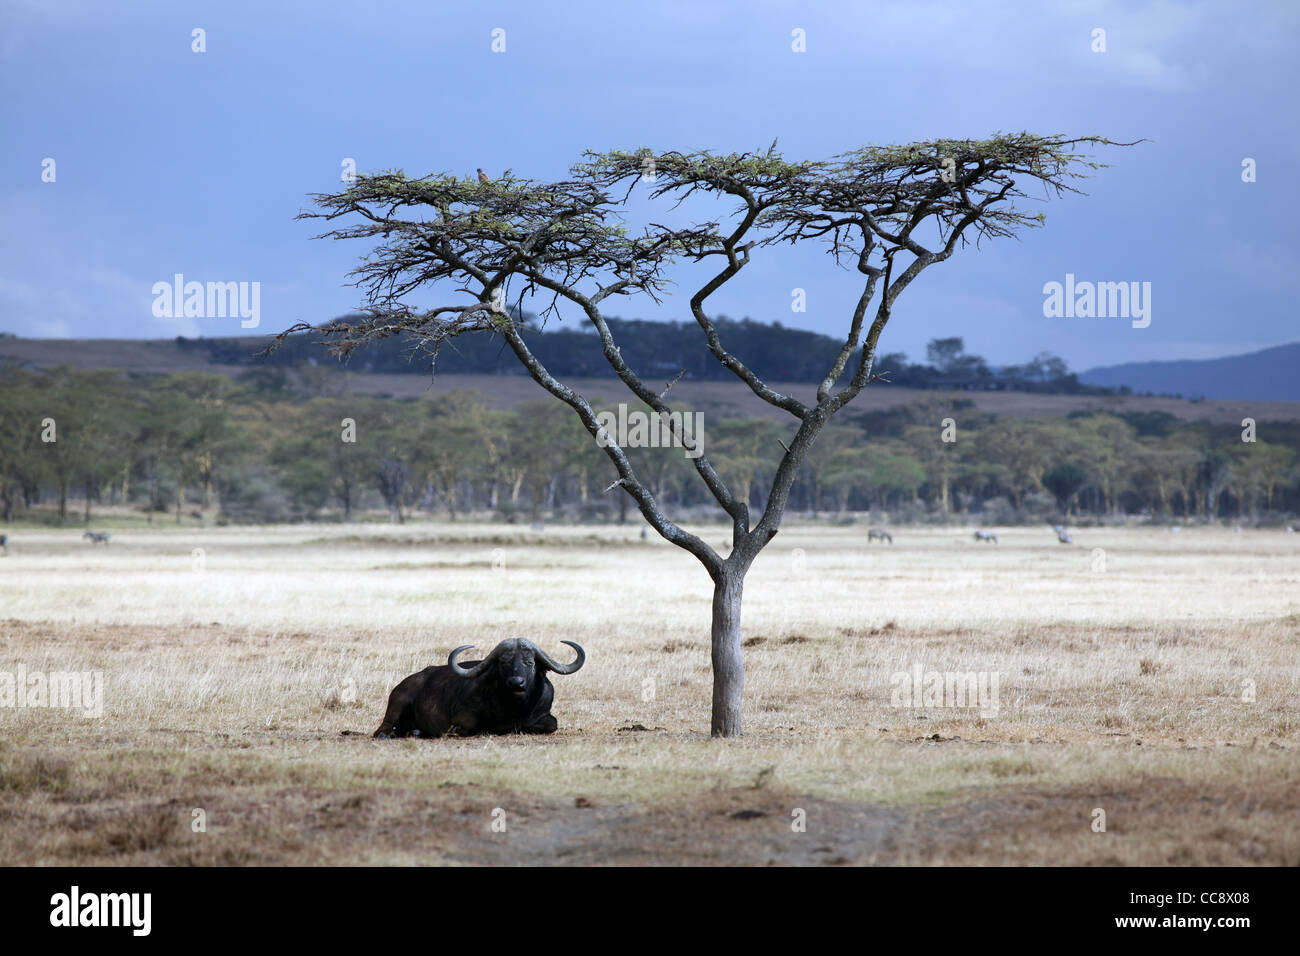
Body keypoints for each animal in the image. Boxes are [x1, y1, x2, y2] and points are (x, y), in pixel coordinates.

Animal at [371, 642, 585, 738]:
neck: (515, 708)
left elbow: (551, 724)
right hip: (398, 701)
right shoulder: (463, 716)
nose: (517, 682)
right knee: (382, 728)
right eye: (503, 663)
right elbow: (470, 725)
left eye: (529, 662)